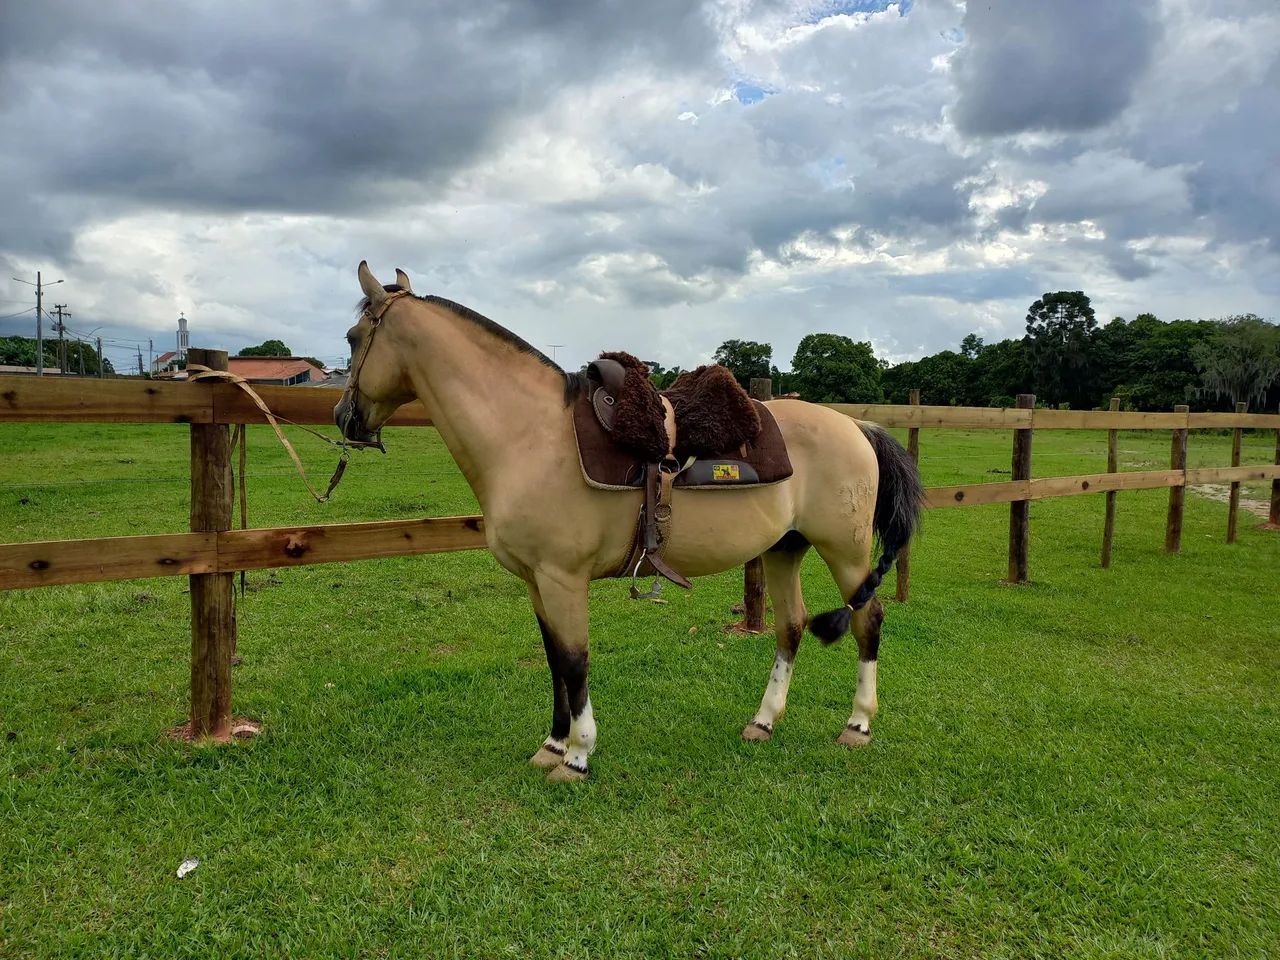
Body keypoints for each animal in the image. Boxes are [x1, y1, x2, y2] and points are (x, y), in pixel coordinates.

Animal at [335, 262, 924, 782]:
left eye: (352, 337)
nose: (345, 418)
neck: (530, 436)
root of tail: (858, 426)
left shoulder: (563, 578)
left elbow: (574, 661)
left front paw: (577, 756)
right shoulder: (536, 581)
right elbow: (553, 658)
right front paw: (552, 745)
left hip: (844, 549)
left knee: (868, 621)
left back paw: (857, 725)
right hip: (786, 547)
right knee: (791, 625)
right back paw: (763, 722)